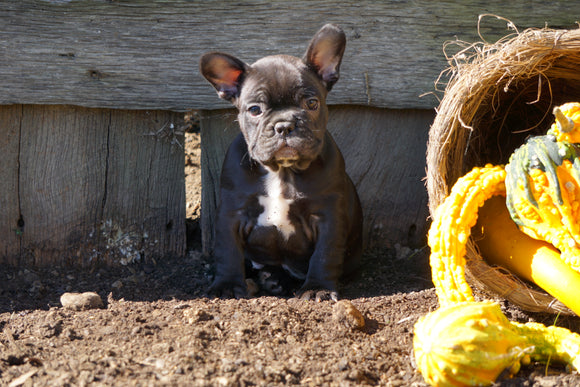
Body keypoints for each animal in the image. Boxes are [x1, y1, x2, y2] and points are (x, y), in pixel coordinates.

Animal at [202, 24, 360, 304]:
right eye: (254, 110)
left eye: (311, 103)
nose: (284, 125)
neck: (282, 170)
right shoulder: (232, 213)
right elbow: (228, 251)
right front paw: (227, 285)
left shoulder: (328, 216)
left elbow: (325, 254)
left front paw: (317, 288)